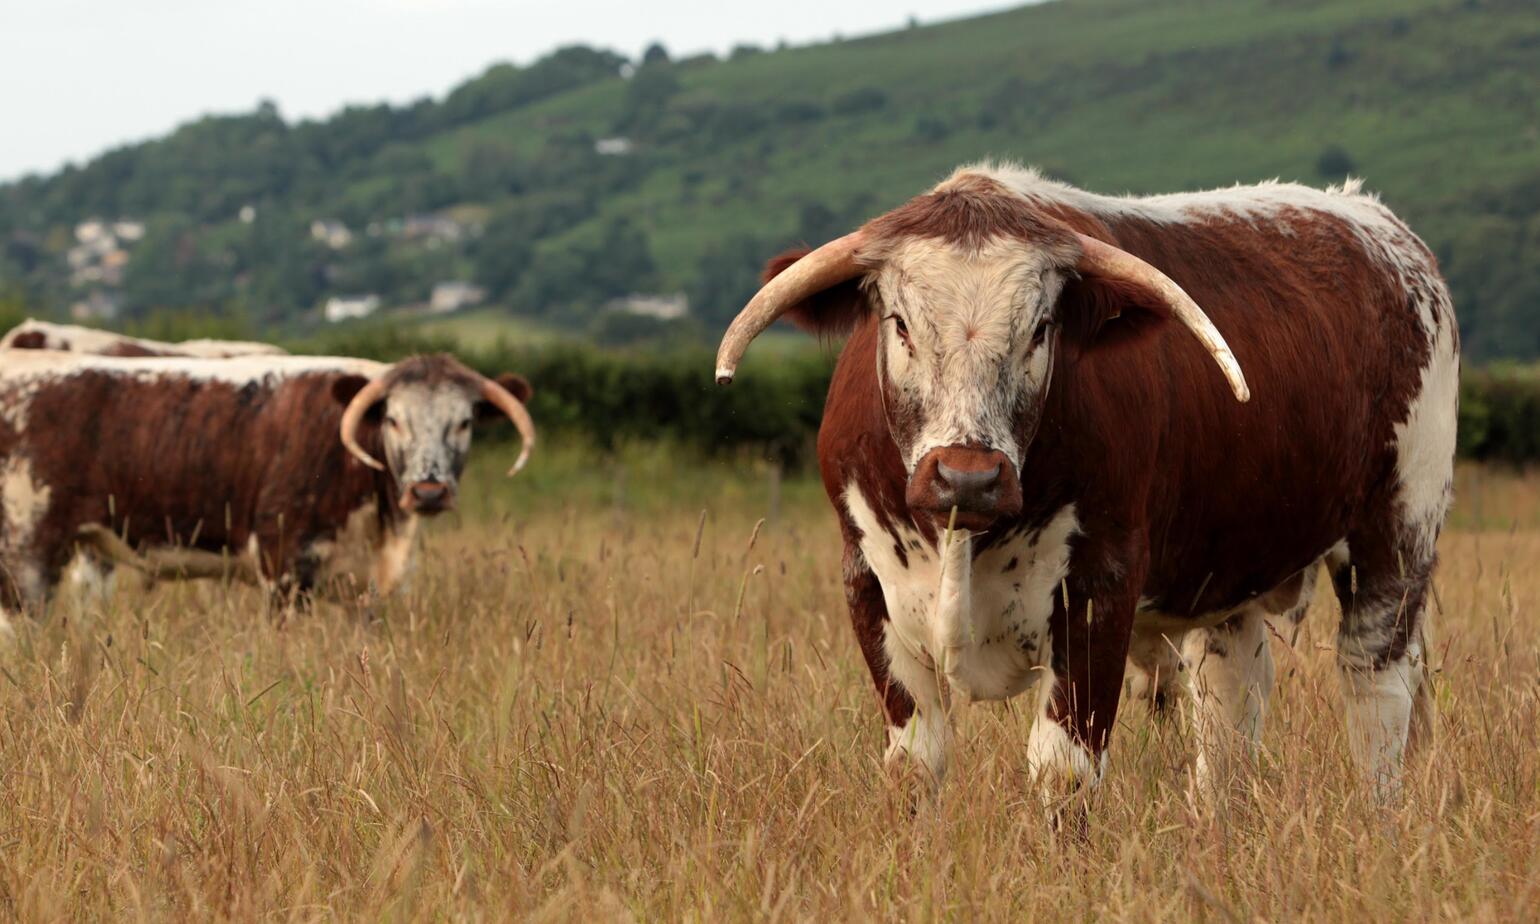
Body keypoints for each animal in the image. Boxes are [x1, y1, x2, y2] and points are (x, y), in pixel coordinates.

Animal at [0, 350, 534, 628]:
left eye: (464, 422)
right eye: (394, 419)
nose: (428, 491)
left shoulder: (365, 592)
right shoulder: (285, 564)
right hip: (26, 555)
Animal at [715, 162, 1457, 800]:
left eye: (1041, 329)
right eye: (899, 323)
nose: (967, 478)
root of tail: (1376, 222)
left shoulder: (1101, 589)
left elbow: (1065, 769)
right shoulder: (867, 585)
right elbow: (915, 763)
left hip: (1399, 531)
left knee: (1374, 690)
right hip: (1232, 574)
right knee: (1229, 709)